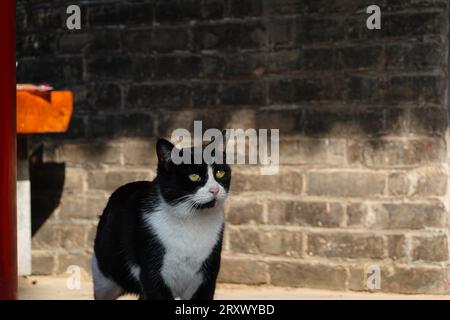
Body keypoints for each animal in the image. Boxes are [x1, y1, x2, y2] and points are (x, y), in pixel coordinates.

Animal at [92, 136, 232, 298]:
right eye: (194, 176)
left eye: (220, 173)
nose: (215, 190)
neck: (191, 221)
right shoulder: (153, 275)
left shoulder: (206, 276)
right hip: (104, 279)